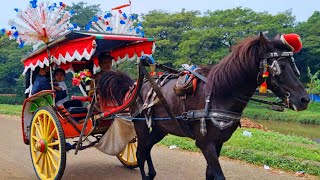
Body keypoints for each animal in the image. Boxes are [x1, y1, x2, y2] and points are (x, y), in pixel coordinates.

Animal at [100, 33, 310, 179]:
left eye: (294, 66)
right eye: (277, 67)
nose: (304, 99)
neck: (220, 94)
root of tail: (134, 86)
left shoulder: (218, 143)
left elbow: (210, 175)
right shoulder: (205, 143)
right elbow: (218, 176)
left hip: (161, 128)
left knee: (147, 149)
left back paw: (152, 174)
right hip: (140, 123)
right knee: (141, 152)